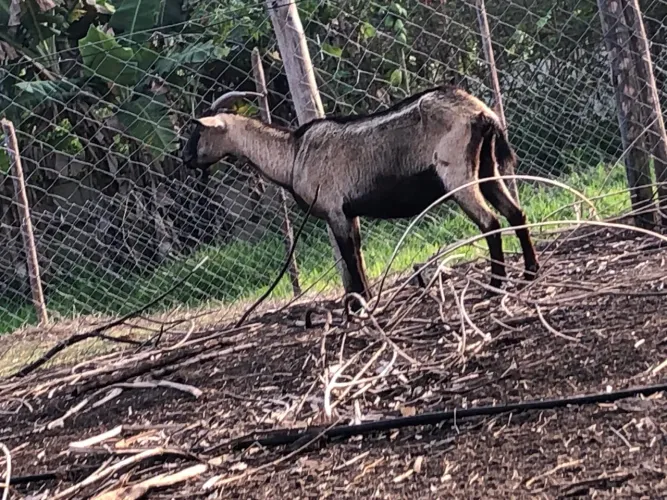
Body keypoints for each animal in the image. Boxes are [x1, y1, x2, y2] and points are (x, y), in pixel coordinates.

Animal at [181, 85, 540, 301]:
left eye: (197, 131)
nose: (185, 160)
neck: (294, 153)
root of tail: (481, 113)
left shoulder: (335, 212)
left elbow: (350, 259)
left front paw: (358, 307)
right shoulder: (350, 214)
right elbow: (357, 253)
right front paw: (366, 299)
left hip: (457, 176)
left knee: (490, 222)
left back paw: (496, 285)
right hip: (487, 169)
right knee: (515, 213)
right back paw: (529, 273)